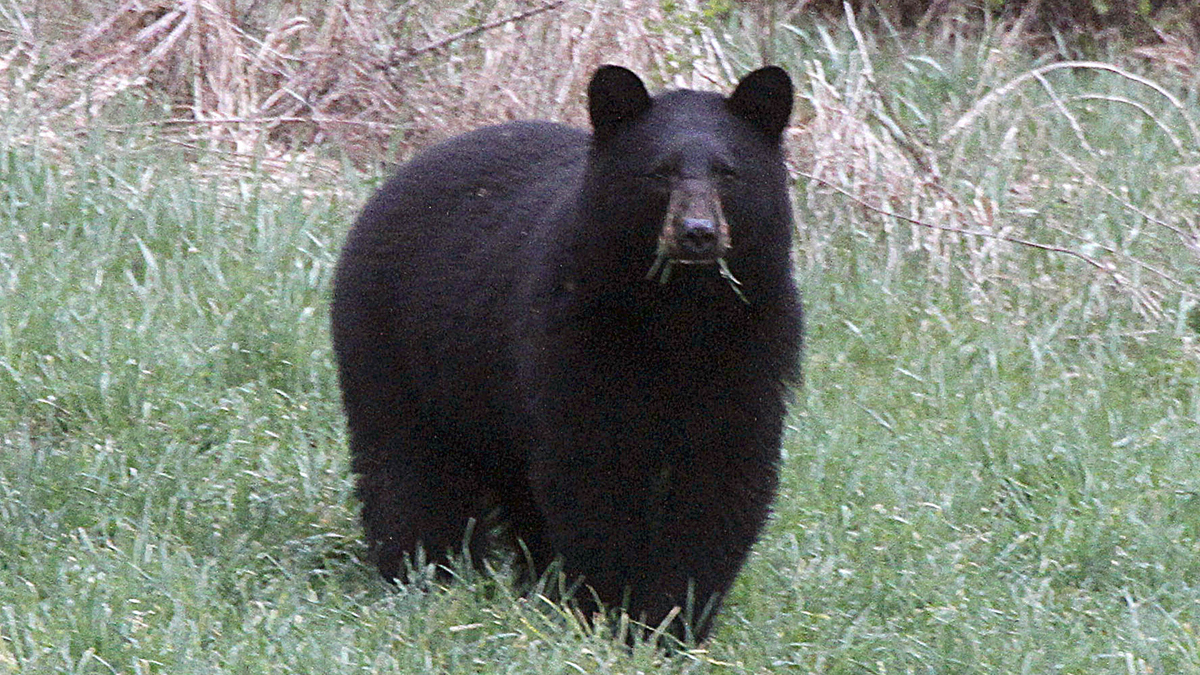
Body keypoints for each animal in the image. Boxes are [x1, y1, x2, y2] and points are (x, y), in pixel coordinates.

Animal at [330, 65, 803, 643]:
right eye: (660, 173)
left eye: (728, 173)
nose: (697, 233)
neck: (678, 316)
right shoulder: (574, 338)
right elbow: (590, 474)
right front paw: (608, 609)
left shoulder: (752, 349)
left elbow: (721, 482)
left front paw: (673, 622)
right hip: (396, 342)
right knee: (408, 464)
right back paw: (424, 570)